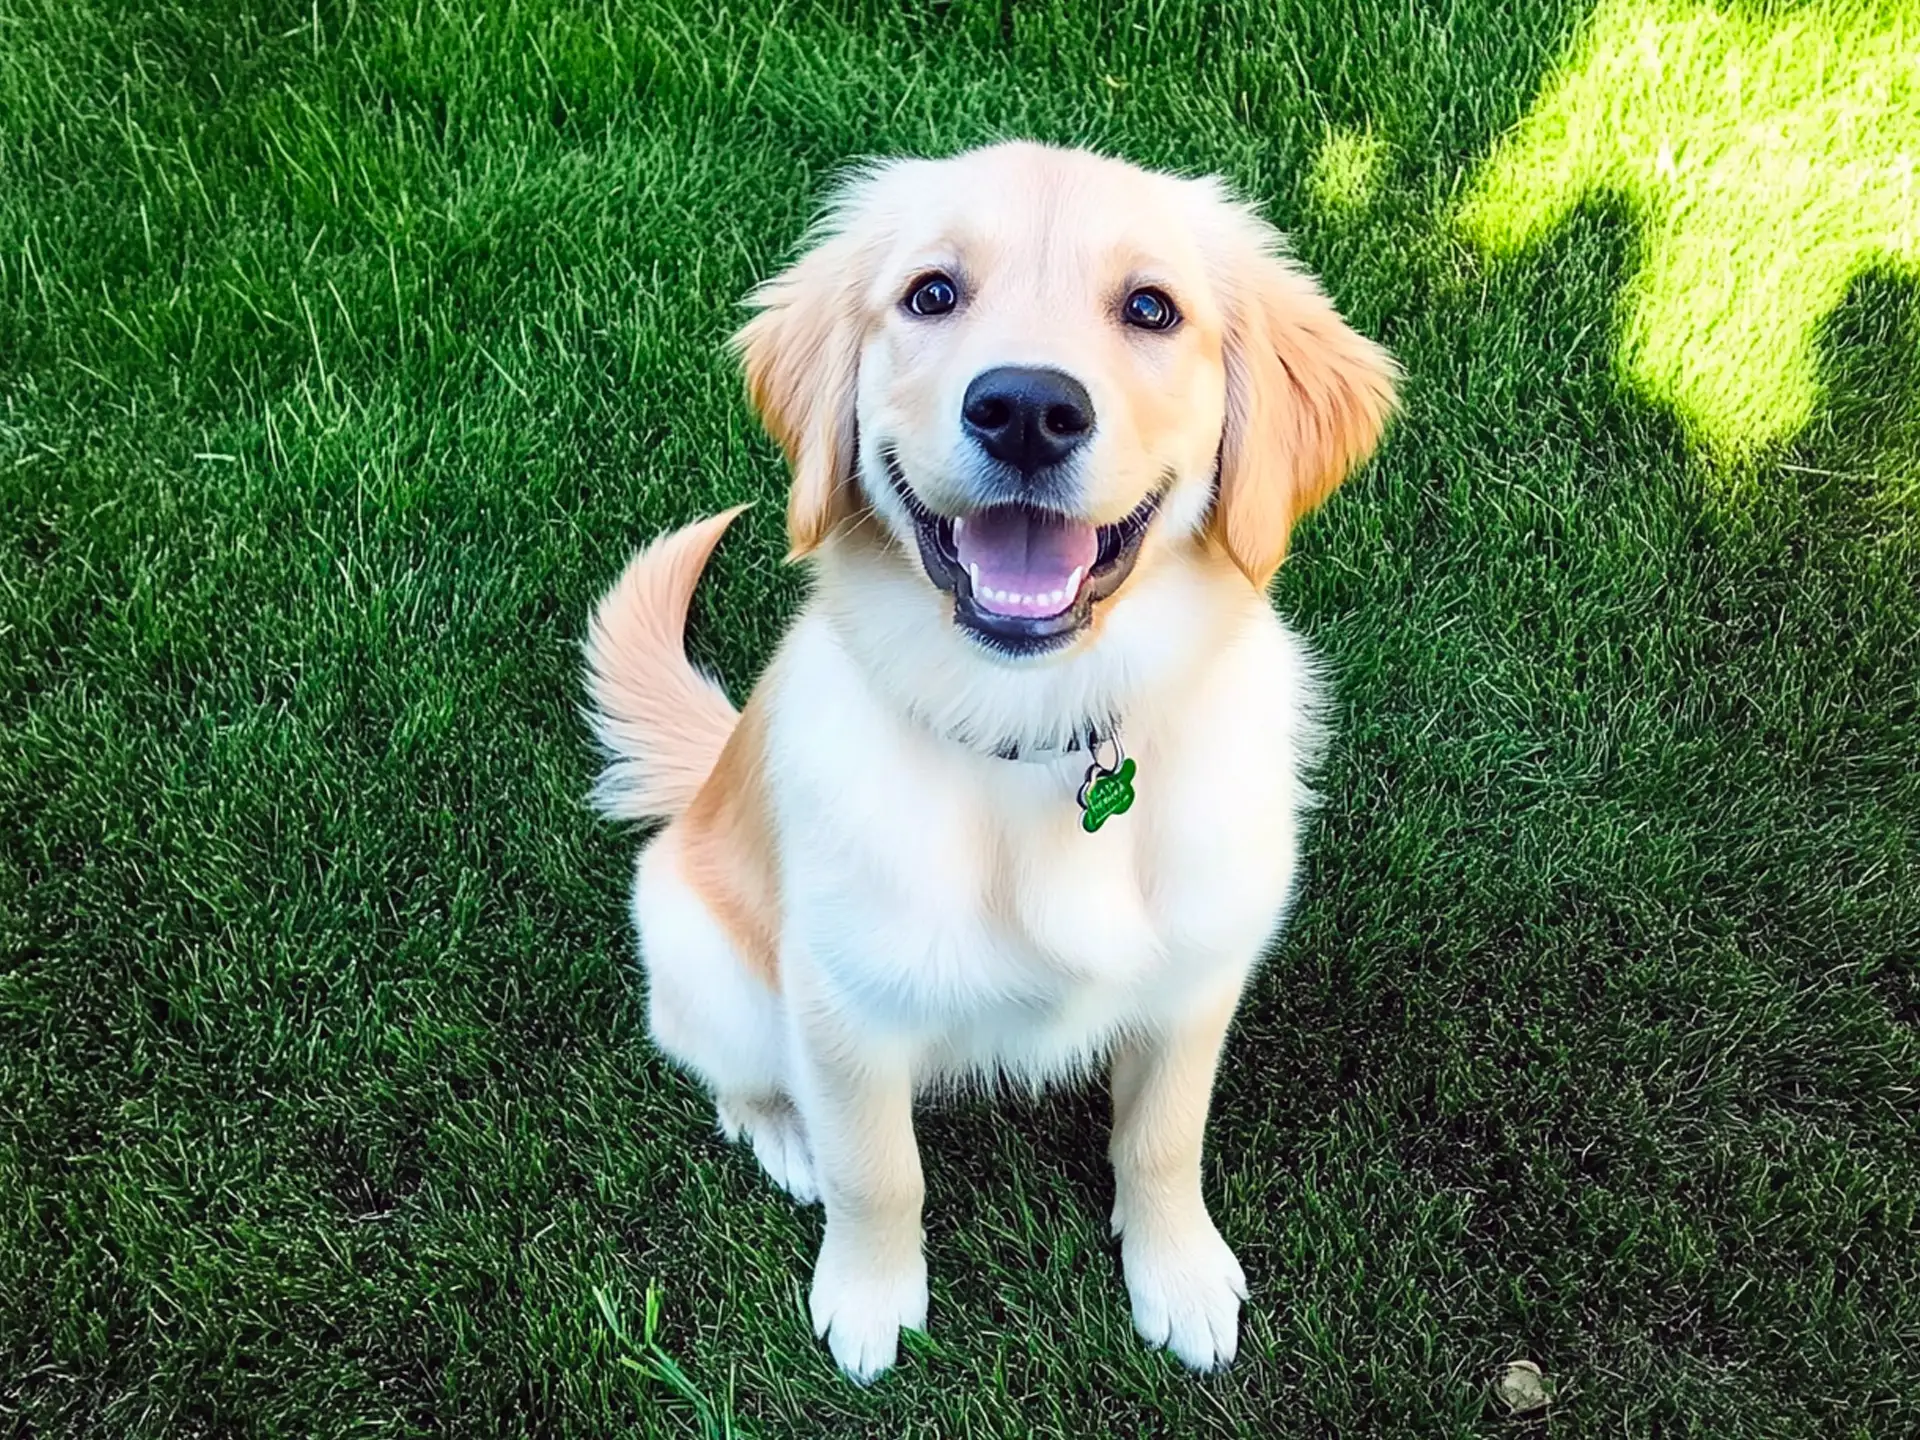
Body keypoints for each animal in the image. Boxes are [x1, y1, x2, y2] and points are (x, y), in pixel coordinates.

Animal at [579, 138, 1397, 1390]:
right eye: (931, 294)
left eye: (1151, 308)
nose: (1025, 409)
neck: (1040, 730)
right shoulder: (844, 1004)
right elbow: (879, 1170)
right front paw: (870, 1301)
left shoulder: (1200, 975)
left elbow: (1163, 1140)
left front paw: (1178, 1276)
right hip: (699, 954)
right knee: (733, 1077)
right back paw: (783, 1133)